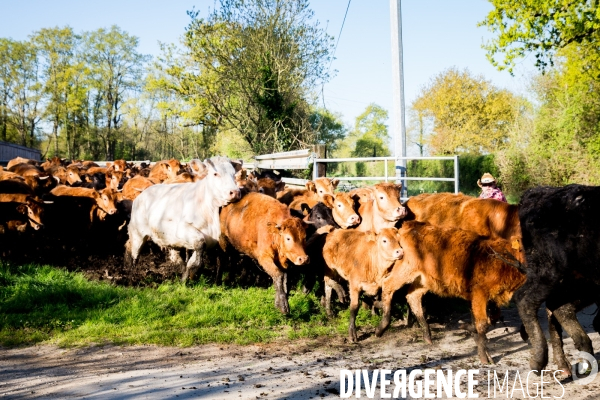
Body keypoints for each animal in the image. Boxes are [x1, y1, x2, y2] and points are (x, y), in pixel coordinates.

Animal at [380, 220, 524, 364]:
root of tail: (411, 224)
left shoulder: (491, 298)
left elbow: (491, 318)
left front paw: (470, 330)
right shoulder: (479, 294)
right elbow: (483, 324)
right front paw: (484, 357)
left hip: (425, 280)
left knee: (412, 296)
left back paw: (427, 335)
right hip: (405, 270)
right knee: (387, 285)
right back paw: (381, 327)